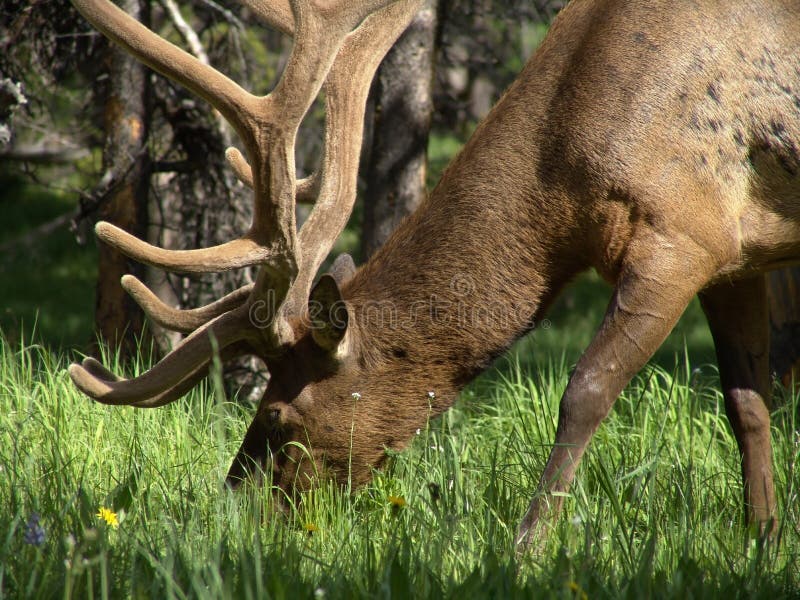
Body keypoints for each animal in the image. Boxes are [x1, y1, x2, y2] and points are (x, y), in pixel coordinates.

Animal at [70, 0, 800, 548]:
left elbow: (586, 391)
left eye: (276, 415)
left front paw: (526, 549)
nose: (230, 515)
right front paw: (762, 539)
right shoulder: (734, 254)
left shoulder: (680, 237)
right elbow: (747, 403)